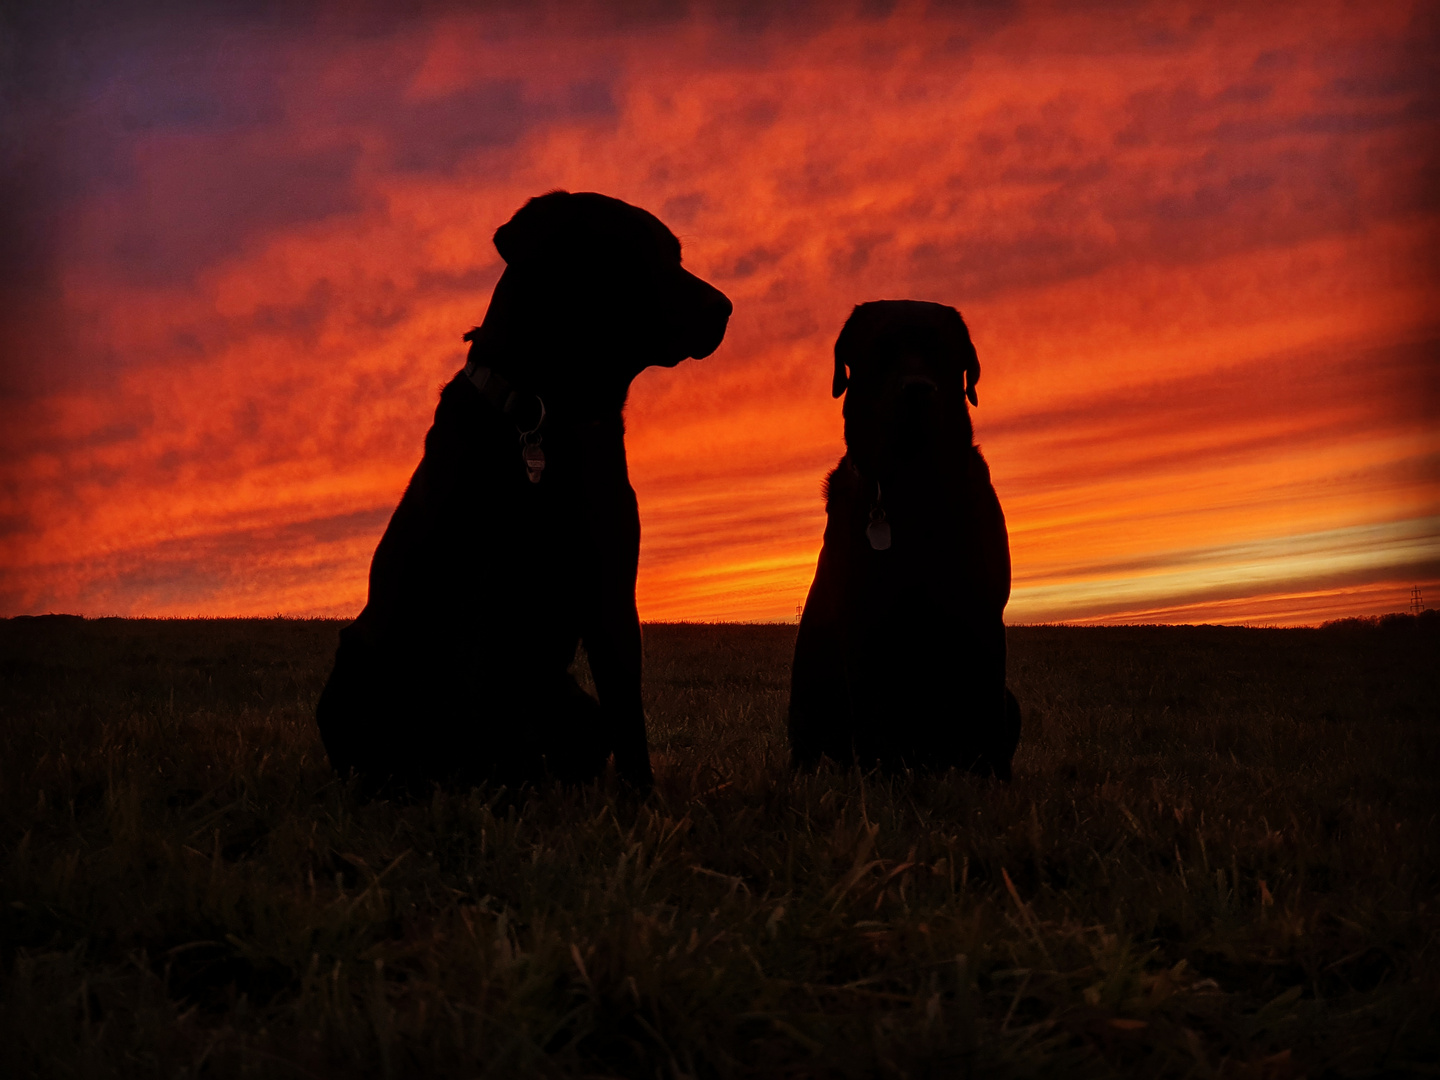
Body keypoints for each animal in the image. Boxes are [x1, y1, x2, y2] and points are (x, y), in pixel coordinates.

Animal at [321, 190, 737, 789]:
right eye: (643, 252)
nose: (725, 307)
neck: (546, 415)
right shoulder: (474, 590)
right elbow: (473, 705)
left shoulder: (610, 585)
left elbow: (627, 713)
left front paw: (640, 799)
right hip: (355, 660)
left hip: (574, 705)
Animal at [794, 300, 1019, 783]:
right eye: (881, 351)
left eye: (942, 351)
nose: (918, 390)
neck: (914, 486)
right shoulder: (861, 617)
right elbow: (873, 715)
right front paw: (879, 779)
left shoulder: (984, 609)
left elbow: (985, 707)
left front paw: (995, 781)